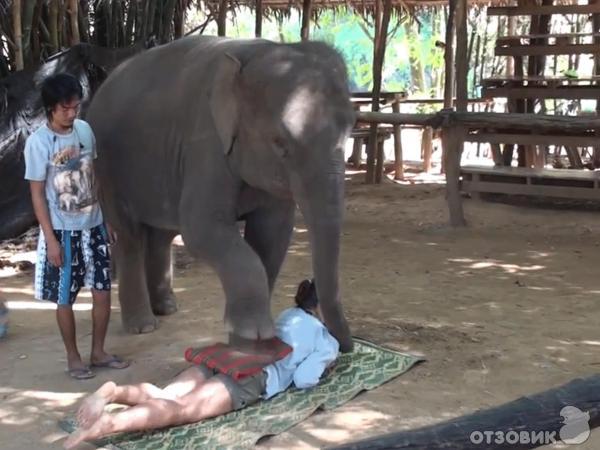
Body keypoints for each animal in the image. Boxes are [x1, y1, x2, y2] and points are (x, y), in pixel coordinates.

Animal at [86, 35, 354, 352]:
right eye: (280, 143)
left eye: (351, 129)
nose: (345, 348)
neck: (259, 53)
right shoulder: (205, 142)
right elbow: (202, 228)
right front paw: (251, 336)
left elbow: (273, 233)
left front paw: (248, 342)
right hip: (106, 166)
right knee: (129, 236)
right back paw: (143, 326)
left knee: (162, 233)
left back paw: (167, 308)